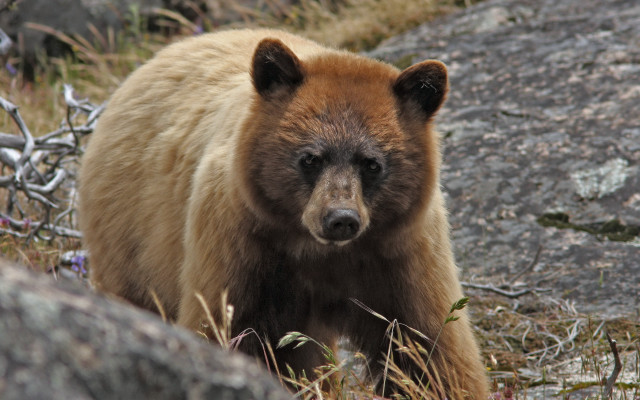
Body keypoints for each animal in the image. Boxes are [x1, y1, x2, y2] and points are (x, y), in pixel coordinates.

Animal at [79, 29, 488, 398]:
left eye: (372, 163)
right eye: (310, 158)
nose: (340, 218)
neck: (322, 255)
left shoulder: (401, 254)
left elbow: (428, 347)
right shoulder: (240, 245)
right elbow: (223, 325)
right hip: (129, 234)